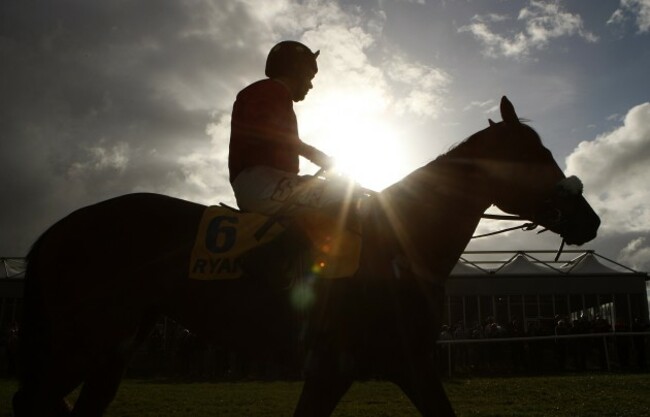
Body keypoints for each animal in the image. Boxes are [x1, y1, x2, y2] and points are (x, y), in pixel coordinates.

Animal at [11, 95, 596, 416]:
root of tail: (57, 229)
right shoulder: (338, 367)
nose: (589, 219)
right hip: (81, 344)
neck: (397, 240)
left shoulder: (407, 365)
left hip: (110, 350)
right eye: (538, 156)